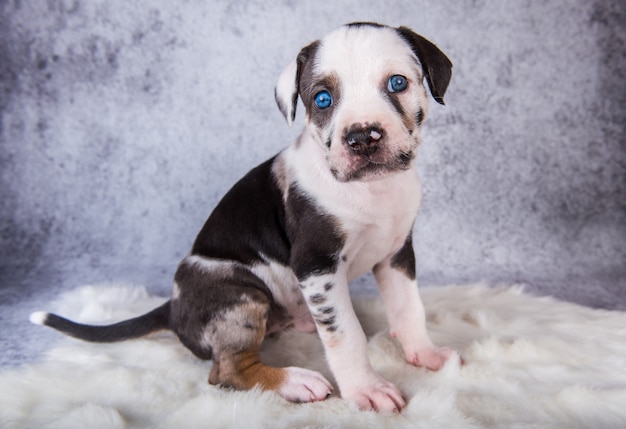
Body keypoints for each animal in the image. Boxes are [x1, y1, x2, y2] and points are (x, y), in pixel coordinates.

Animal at [30, 22, 454, 412]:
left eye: (397, 83)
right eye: (322, 99)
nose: (363, 137)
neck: (372, 190)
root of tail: (172, 307)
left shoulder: (397, 254)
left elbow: (409, 307)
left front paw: (426, 353)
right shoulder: (317, 266)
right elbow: (345, 334)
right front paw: (366, 389)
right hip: (240, 296)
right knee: (229, 370)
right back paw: (294, 381)